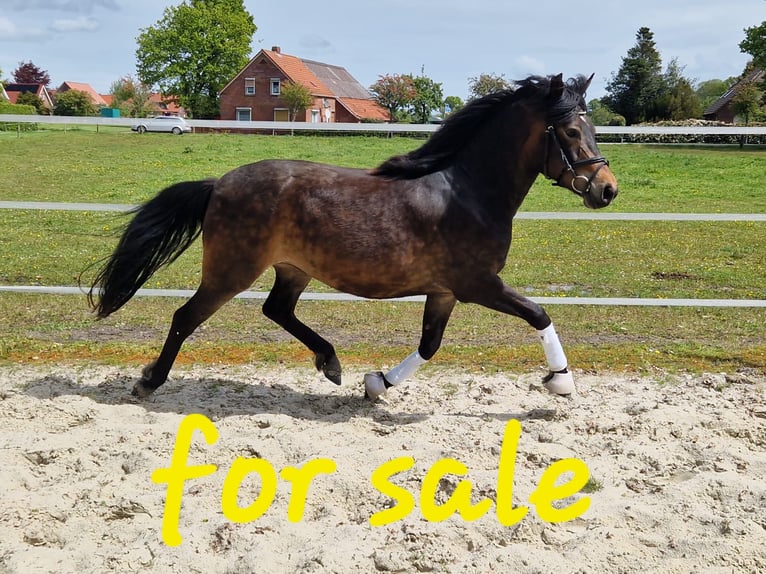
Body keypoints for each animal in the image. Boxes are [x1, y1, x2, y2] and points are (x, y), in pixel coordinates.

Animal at [89, 73, 618, 401]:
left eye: (592, 127)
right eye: (572, 131)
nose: (607, 190)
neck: (467, 191)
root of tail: (218, 183)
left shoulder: (445, 291)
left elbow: (429, 345)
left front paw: (377, 383)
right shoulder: (478, 284)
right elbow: (538, 313)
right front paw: (561, 381)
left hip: (293, 269)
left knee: (276, 310)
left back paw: (332, 363)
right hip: (231, 271)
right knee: (187, 317)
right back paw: (149, 382)